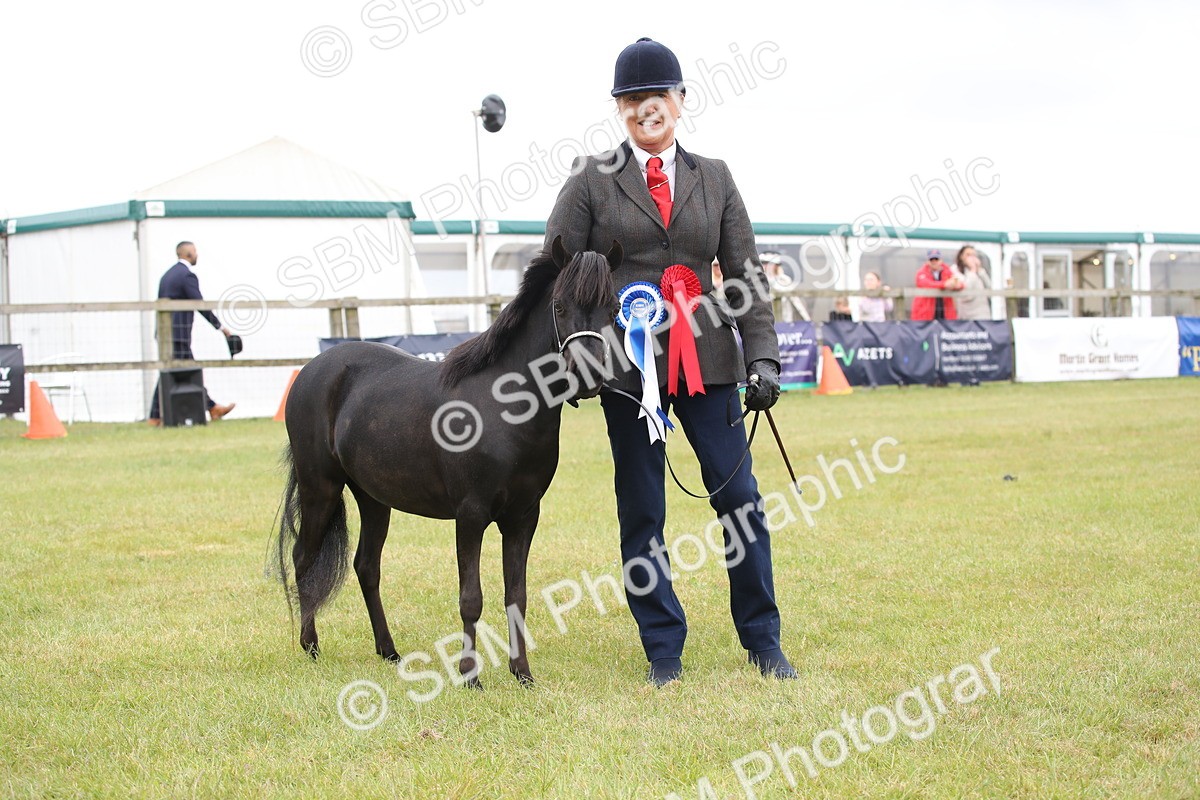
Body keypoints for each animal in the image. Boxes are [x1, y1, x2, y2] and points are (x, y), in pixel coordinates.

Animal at [273, 236, 621, 688]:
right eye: (559, 306)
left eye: (613, 307)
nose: (589, 376)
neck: (502, 407)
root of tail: (313, 369)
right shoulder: (470, 515)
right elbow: (471, 598)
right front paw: (469, 676)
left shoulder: (524, 517)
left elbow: (517, 595)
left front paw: (522, 673)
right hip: (321, 488)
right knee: (303, 558)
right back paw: (311, 646)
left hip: (373, 499)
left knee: (366, 566)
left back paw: (388, 651)